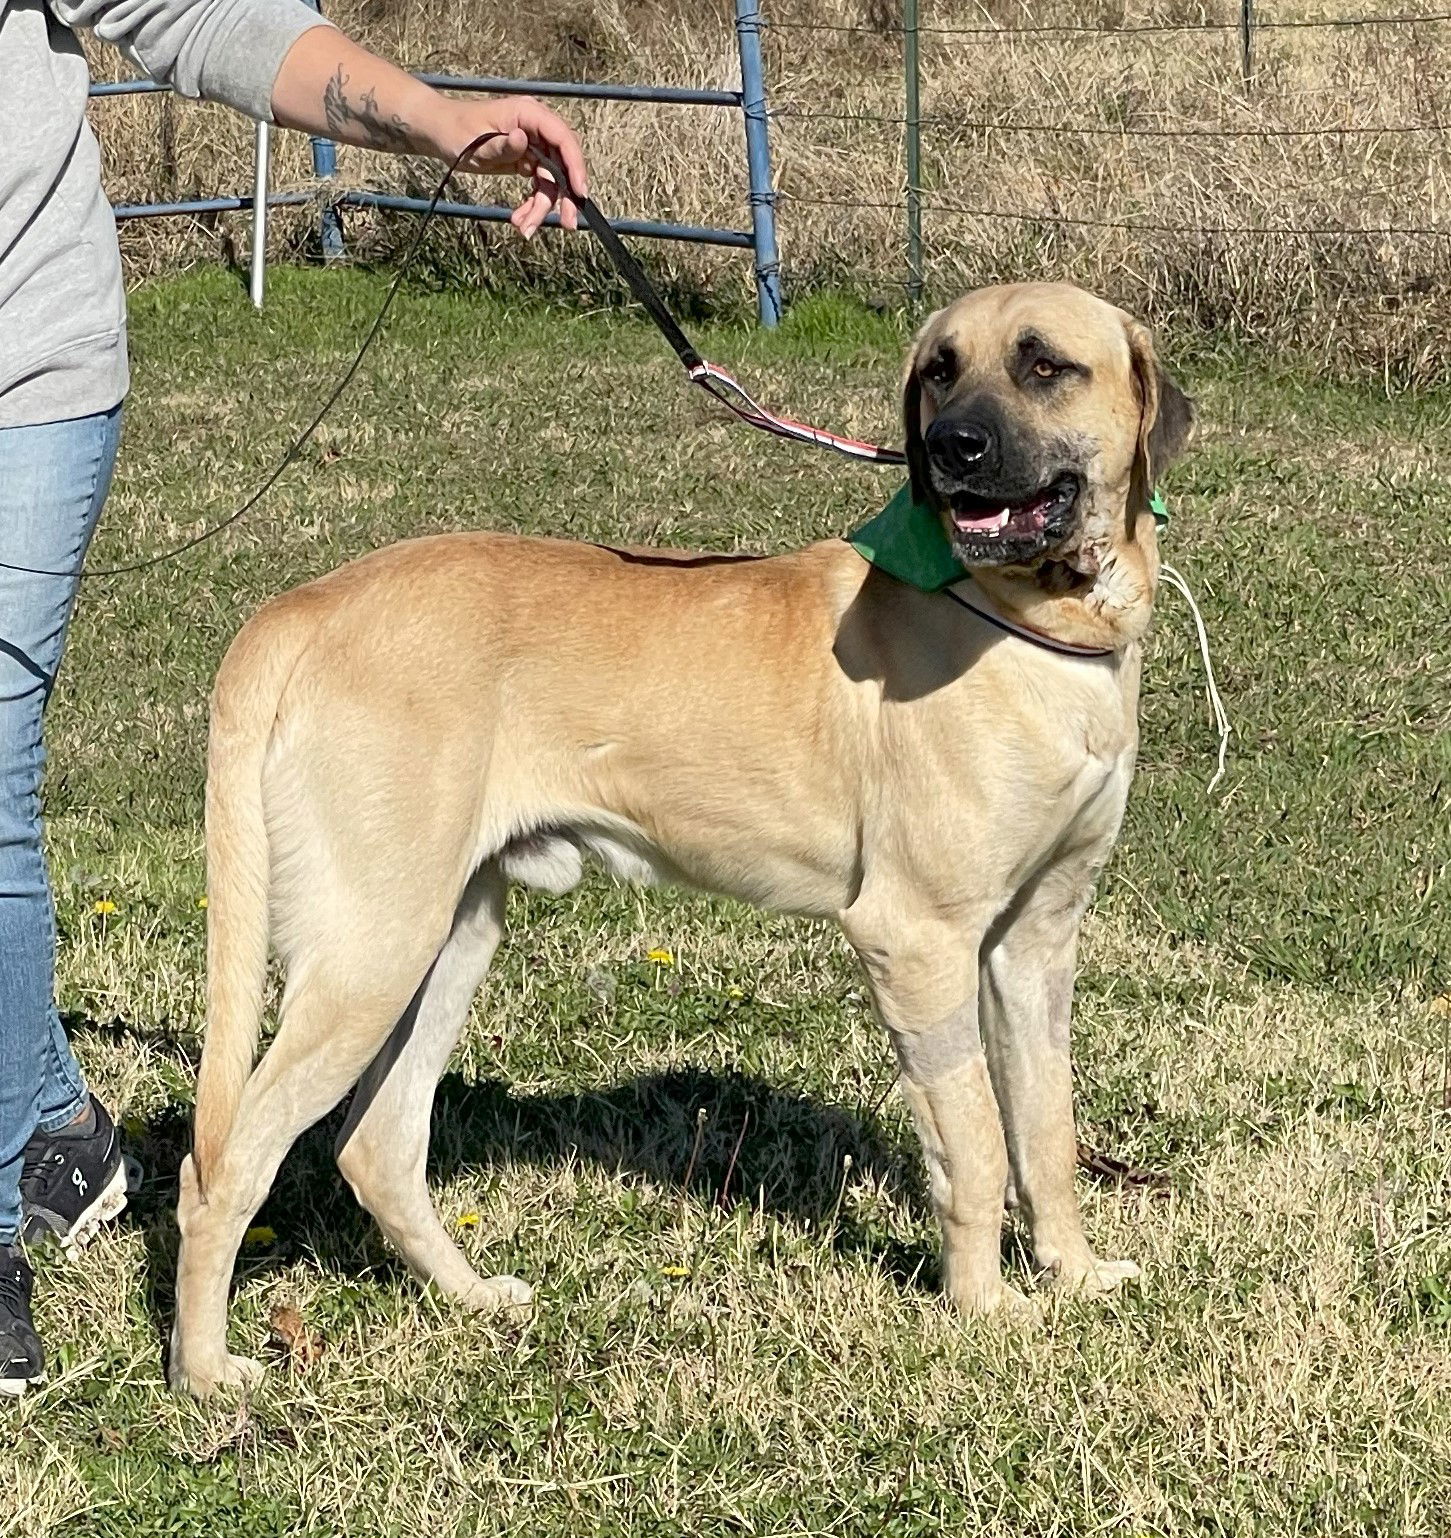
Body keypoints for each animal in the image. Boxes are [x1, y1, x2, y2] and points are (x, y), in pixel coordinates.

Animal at [170, 279, 1194, 1396]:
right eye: (939, 368)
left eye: (1044, 364)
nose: (952, 447)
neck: (1037, 621)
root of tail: (299, 608)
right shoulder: (918, 938)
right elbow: (971, 1138)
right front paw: (982, 1307)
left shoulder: (1035, 941)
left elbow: (1044, 1129)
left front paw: (1073, 1272)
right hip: (371, 948)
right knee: (221, 1164)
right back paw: (205, 1370)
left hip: (447, 937)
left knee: (378, 1145)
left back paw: (469, 1295)